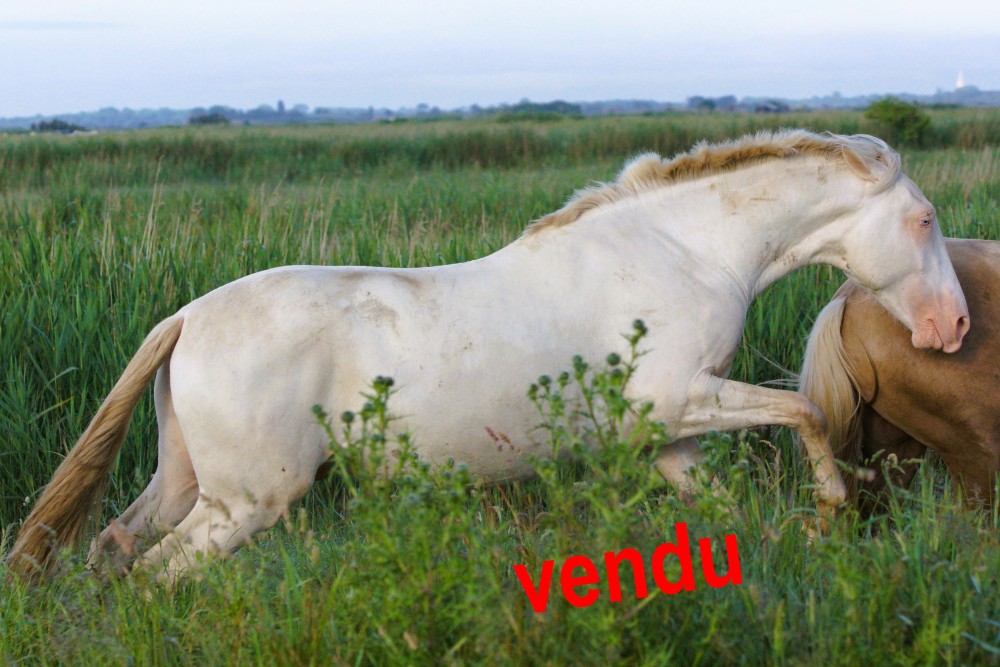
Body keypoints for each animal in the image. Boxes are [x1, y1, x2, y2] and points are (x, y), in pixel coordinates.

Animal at [7, 129, 972, 580]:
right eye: (924, 220)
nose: (955, 329)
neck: (683, 249)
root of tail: (185, 318)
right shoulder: (683, 397)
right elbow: (801, 408)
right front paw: (835, 505)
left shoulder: (670, 437)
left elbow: (725, 504)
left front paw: (795, 539)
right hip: (247, 502)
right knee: (157, 573)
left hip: (184, 483)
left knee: (115, 547)